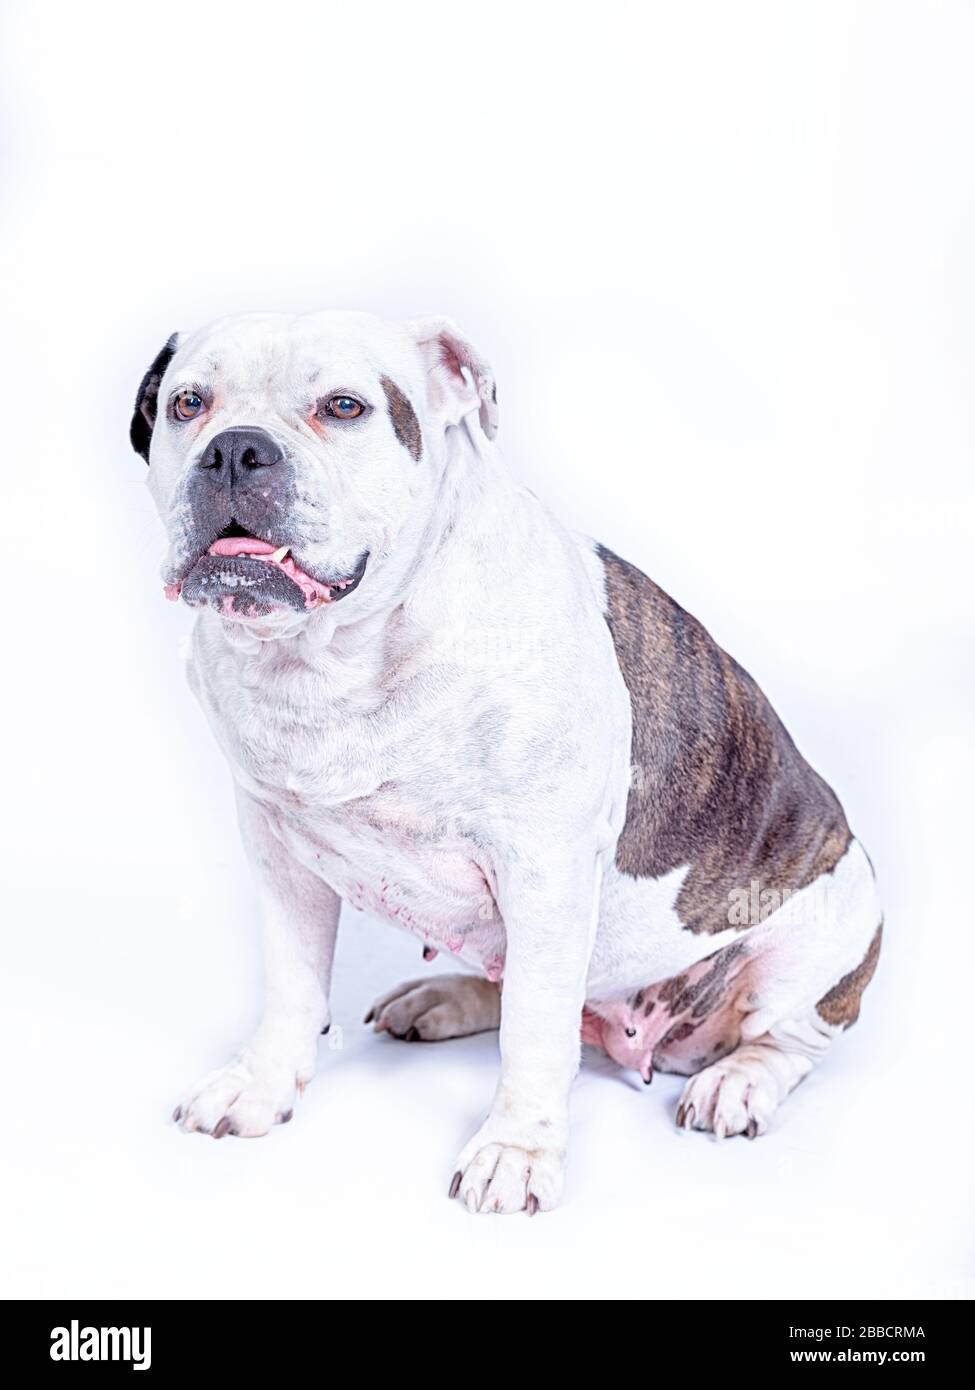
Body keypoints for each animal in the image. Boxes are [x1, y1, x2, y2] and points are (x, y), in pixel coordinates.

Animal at [131, 312, 884, 1217]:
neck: (335, 654)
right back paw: (444, 997)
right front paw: (260, 1086)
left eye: (344, 407)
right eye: (188, 404)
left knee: (783, 1038)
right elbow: (293, 982)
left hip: (828, 928)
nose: (236, 449)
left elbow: (534, 1034)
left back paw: (736, 1082)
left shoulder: (544, 866)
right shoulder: (279, 850)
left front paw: (516, 1151)